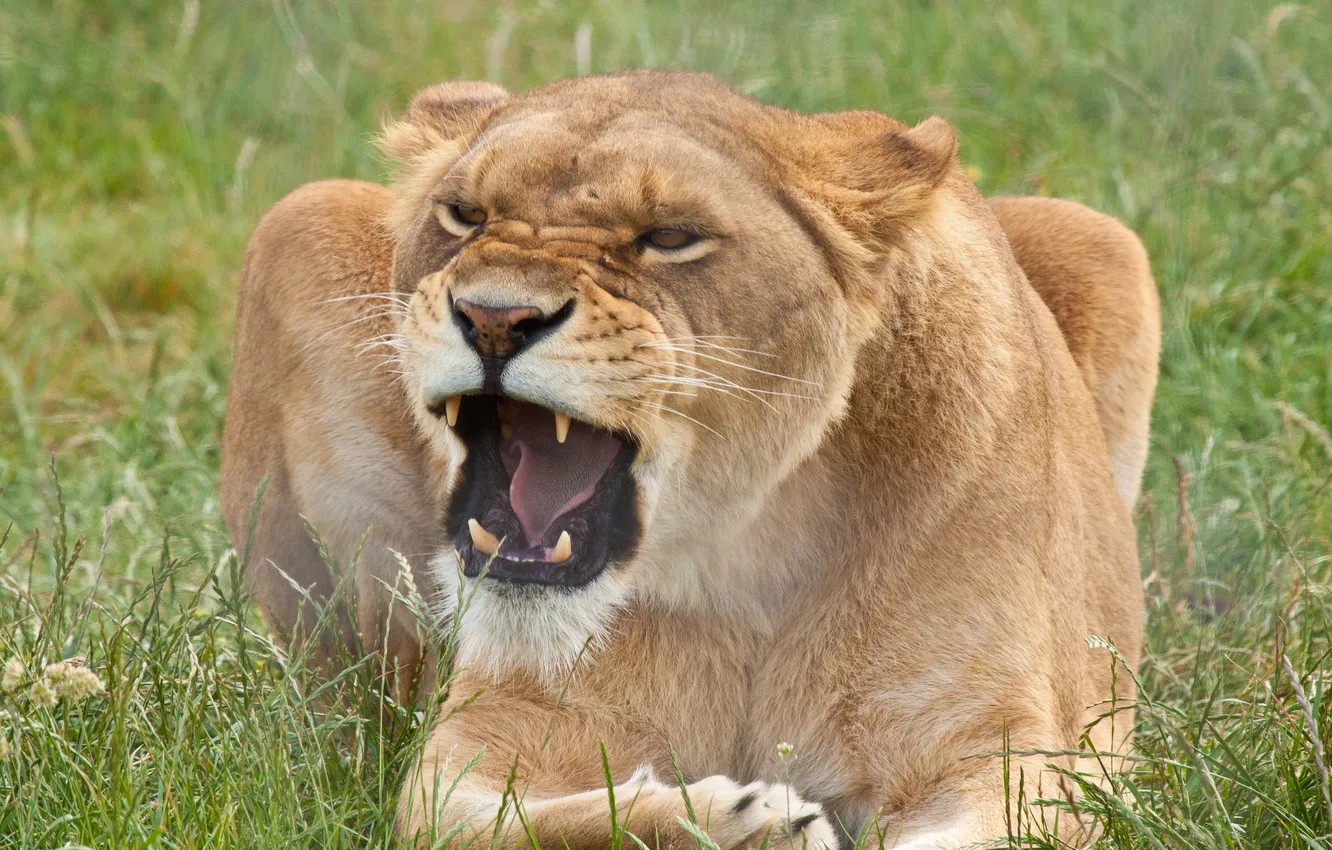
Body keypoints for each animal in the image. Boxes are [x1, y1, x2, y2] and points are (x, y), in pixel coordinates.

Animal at [220, 71, 1158, 848]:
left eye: (669, 236)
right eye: (466, 216)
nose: (493, 317)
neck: (749, 548)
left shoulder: (996, 754)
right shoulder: (494, 733)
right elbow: (495, 823)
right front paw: (746, 822)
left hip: (1104, 239)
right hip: (297, 220)